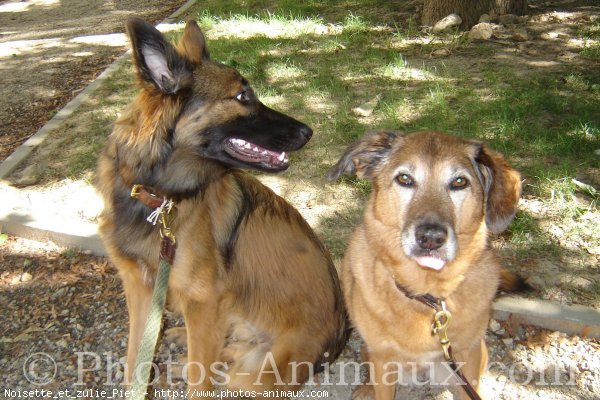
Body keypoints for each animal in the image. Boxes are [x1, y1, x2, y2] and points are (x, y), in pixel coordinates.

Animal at [96, 18, 350, 396]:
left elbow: (199, 382)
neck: (159, 200)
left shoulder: (202, 300)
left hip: (252, 375)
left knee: (221, 367)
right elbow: (133, 362)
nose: (308, 131)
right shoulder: (140, 288)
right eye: (242, 96)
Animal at [326, 130, 524, 396]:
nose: (431, 238)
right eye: (404, 179)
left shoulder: (467, 356)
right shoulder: (383, 359)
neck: (427, 294)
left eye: (459, 182)